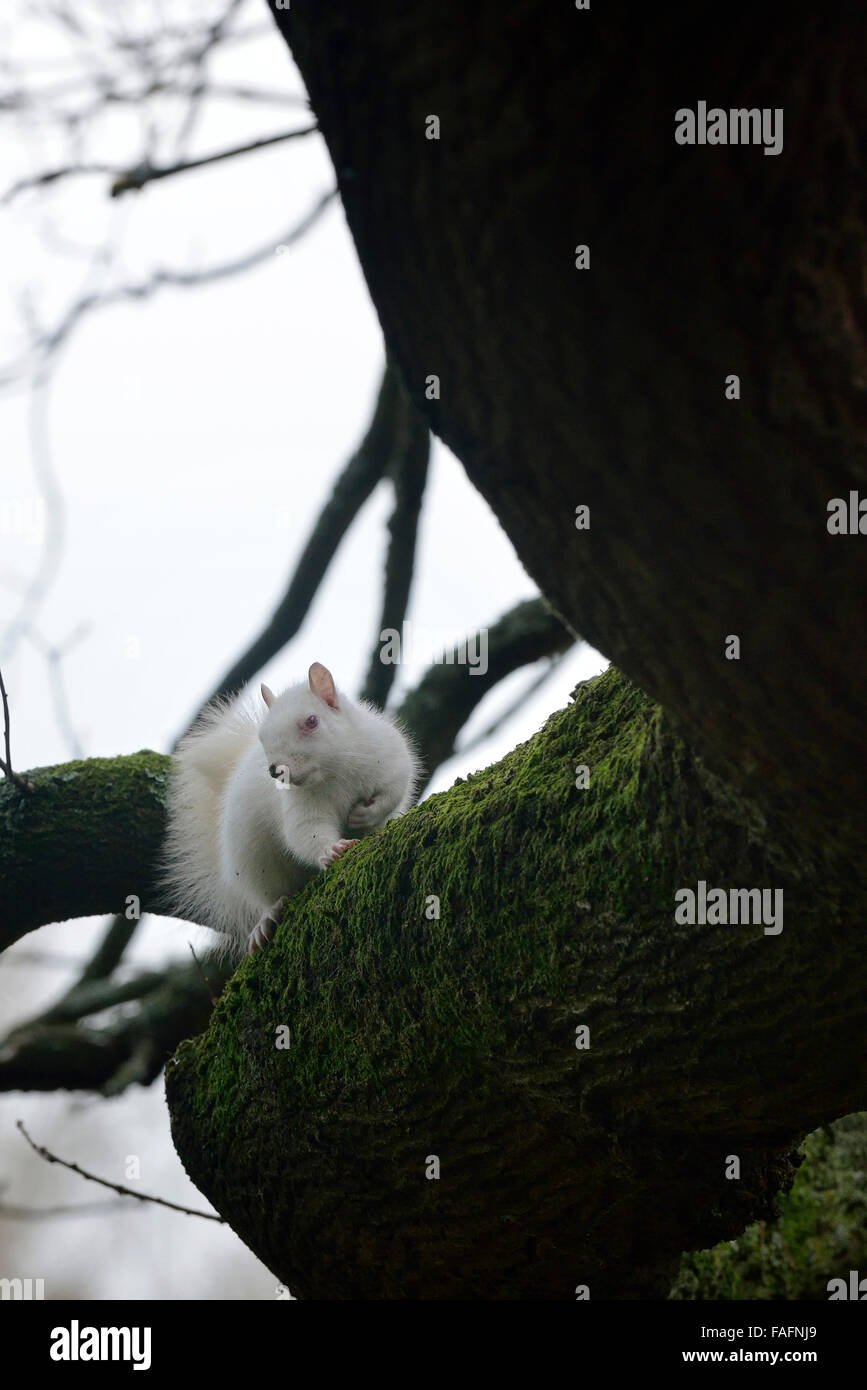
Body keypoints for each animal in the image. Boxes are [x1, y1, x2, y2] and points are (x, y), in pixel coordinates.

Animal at [161, 662, 419, 958]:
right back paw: (266, 919)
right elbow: (304, 832)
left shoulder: (388, 756)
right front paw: (331, 849)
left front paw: (364, 815)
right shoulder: (301, 805)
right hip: (254, 862)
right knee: (268, 894)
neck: (334, 771)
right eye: (262, 737)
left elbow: (393, 790)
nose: (275, 770)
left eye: (311, 721)